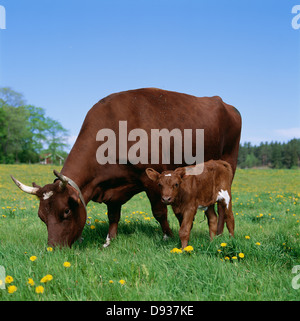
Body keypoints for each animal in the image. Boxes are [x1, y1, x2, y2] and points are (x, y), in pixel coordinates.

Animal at [11, 88, 241, 248]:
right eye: (41, 216)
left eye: (66, 211)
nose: (53, 248)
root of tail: (223, 103)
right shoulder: (112, 186)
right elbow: (113, 215)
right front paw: (109, 240)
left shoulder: (152, 179)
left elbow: (159, 212)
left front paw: (168, 236)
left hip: (229, 167)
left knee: (224, 207)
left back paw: (221, 235)